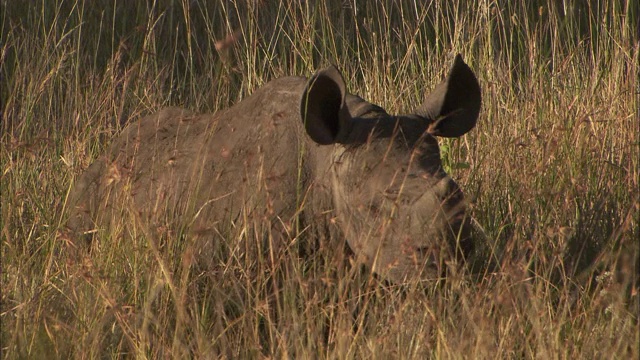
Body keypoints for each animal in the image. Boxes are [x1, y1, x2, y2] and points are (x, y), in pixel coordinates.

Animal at [67, 54, 482, 282]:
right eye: (373, 209)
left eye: (458, 196)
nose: (447, 263)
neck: (325, 164)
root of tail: (105, 155)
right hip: (88, 196)